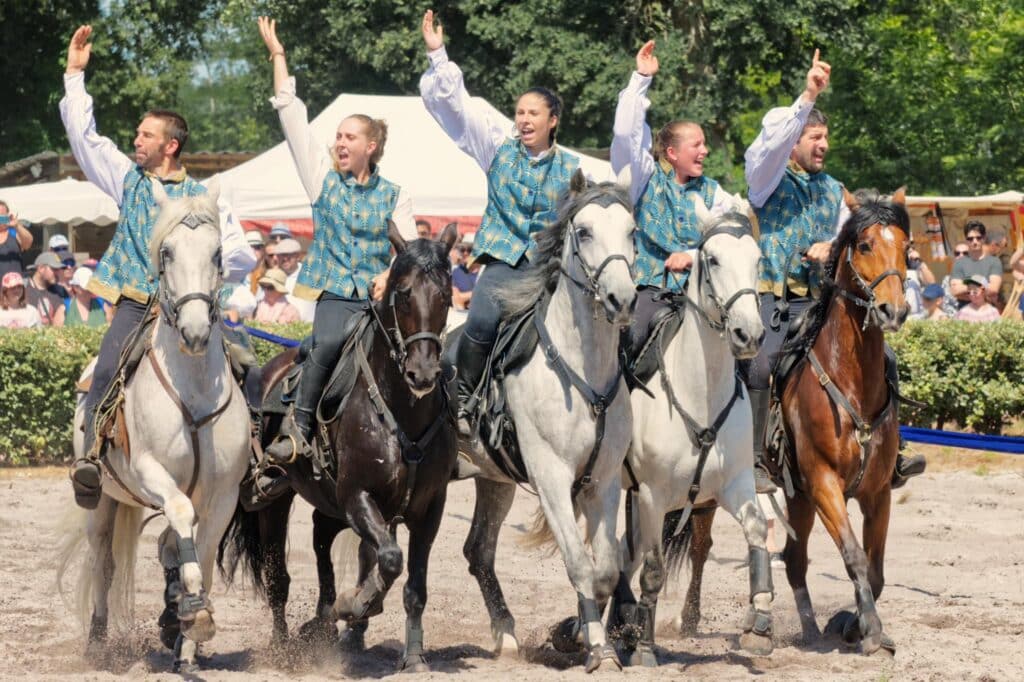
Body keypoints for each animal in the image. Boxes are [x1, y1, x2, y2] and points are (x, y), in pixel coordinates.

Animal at [57, 182, 249, 675]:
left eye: (218, 253)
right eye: (167, 251)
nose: (196, 331)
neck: (193, 388)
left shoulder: (224, 495)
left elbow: (200, 551)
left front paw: (190, 635)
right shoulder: (150, 472)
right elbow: (179, 516)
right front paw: (193, 611)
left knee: (167, 545)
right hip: (102, 501)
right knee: (104, 563)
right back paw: (97, 641)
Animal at [221, 224, 460, 667]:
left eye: (446, 296)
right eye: (403, 292)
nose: (421, 373)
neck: (401, 412)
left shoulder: (429, 509)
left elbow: (413, 587)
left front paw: (413, 656)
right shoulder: (358, 496)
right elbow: (389, 559)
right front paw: (356, 604)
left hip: (329, 502)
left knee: (320, 537)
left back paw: (322, 617)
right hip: (276, 500)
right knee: (278, 577)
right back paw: (286, 643)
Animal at [610, 208, 770, 663]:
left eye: (757, 260)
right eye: (712, 259)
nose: (749, 334)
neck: (701, 394)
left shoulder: (735, 486)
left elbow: (758, 533)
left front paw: (761, 621)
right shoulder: (651, 495)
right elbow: (654, 569)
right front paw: (646, 646)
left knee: (623, 556)